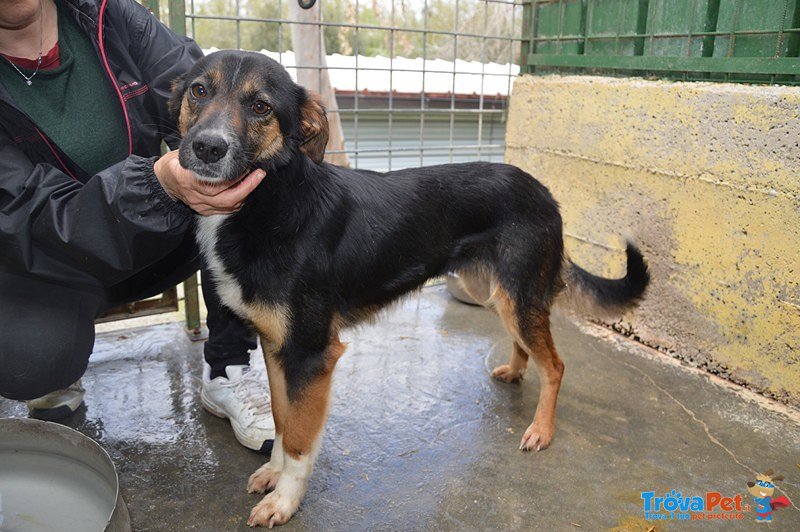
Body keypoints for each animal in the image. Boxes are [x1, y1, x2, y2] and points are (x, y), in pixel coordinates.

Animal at [170, 52, 648, 524]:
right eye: (199, 90)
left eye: (261, 107)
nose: (208, 147)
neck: (271, 200)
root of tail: (546, 192)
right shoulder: (277, 347)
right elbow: (283, 420)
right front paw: (272, 472)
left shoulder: (311, 354)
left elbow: (300, 439)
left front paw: (284, 500)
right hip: (496, 292)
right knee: (527, 344)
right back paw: (515, 372)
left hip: (519, 294)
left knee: (556, 365)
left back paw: (542, 430)